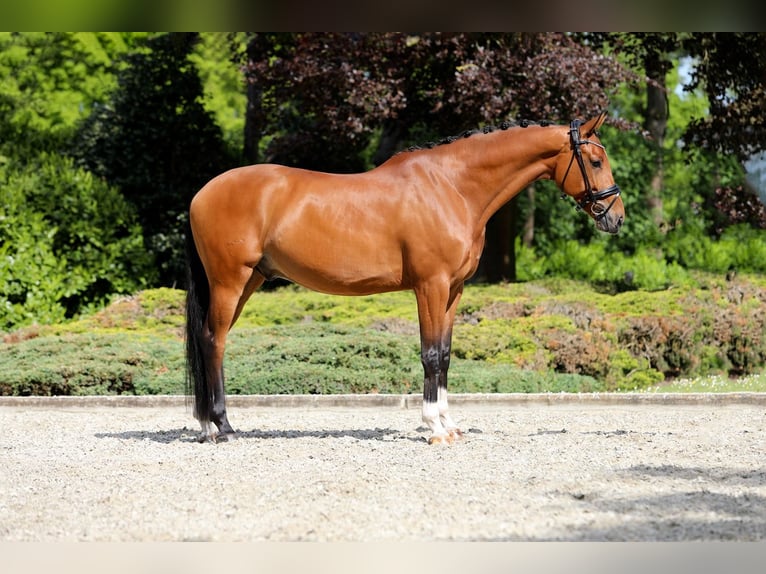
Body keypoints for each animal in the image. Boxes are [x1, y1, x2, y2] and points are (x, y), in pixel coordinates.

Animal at [185, 111, 624, 444]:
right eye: (596, 162)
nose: (615, 218)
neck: (452, 187)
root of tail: (201, 193)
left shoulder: (454, 290)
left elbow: (444, 355)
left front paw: (449, 424)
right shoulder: (431, 285)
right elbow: (429, 354)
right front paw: (434, 428)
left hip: (249, 281)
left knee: (210, 339)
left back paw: (209, 426)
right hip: (230, 281)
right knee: (214, 341)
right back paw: (222, 426)